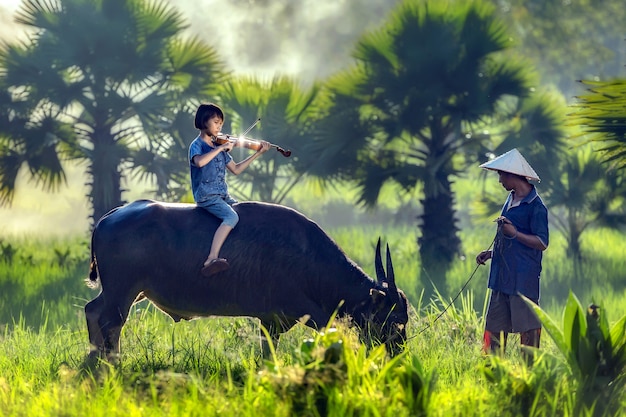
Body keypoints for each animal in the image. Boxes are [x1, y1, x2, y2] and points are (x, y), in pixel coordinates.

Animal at [85, 198, 410, 358]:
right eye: (395, 320)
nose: (399, 353)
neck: (305, 257)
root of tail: (109, 217)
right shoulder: (304, 314)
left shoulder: (270, 321)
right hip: (121, 292)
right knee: (107, 321)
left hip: (126, 292)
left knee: (94, 313)